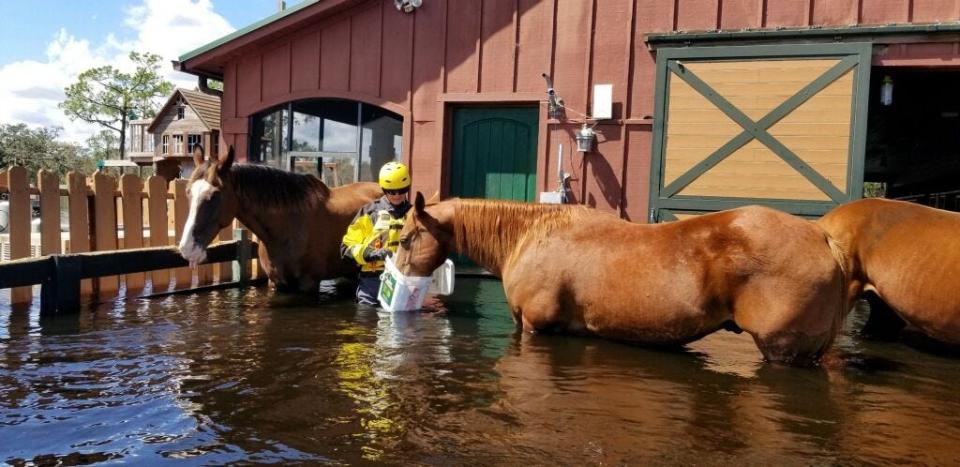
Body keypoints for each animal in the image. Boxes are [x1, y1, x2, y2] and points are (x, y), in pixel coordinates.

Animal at [178, 146, 380, 292]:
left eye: (215, 195)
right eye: (187, 192)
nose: (187, 248)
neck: (287, 226)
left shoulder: (309, 284)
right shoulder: (275, 283)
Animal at [396, 194, 848, 366]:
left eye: (403, 238)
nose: (396, 282)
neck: (532, 236)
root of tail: (823, 239)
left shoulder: (535, 326)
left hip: (783, 351)